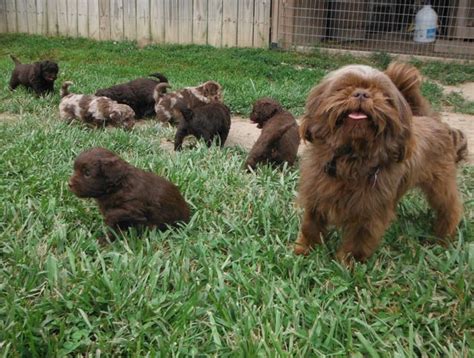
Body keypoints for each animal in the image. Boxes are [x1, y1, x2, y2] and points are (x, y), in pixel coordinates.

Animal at [294, 62, 468, 262]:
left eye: (382, 94)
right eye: (344, 87)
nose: (362, 93)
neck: (351, 157)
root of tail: (431, 119)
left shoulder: (370, 211)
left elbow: (358, 241)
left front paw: (348, 263)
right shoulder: (315, 194)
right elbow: (311, 225)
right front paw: (304, 250)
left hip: (440, 185)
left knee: (450, 208)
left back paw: (443, 237)